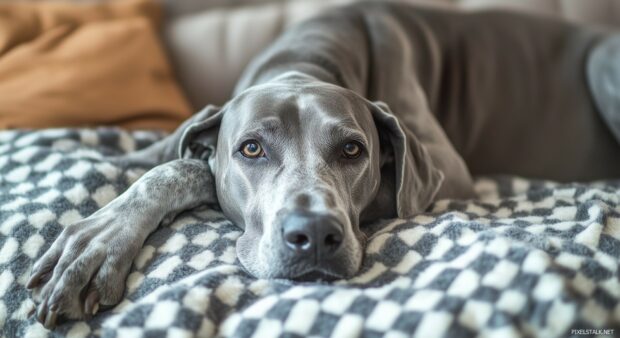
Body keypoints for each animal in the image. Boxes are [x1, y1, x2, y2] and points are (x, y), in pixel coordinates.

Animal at [25, 0, 620, 328]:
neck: (306, 61)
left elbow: (191, 168)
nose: (313, 235)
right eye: (251, 149)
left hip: (602, 64)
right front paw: (102, 234)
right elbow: (170, 161)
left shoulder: (447, 171)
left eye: (353, 150)